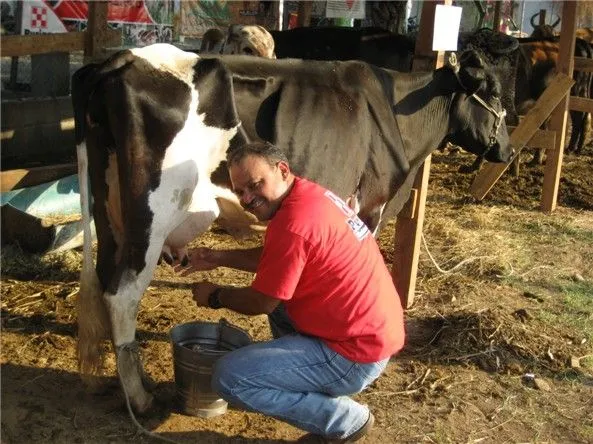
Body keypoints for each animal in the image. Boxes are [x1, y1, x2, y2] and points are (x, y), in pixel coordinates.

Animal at [73, 43, 508, 414]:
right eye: (495, 93)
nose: (508, 149)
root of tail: (123, 58)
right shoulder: (368, 207)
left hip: (109, 211)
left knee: (106, 279)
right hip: (151, 215)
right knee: (123, 294)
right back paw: (140, 397)